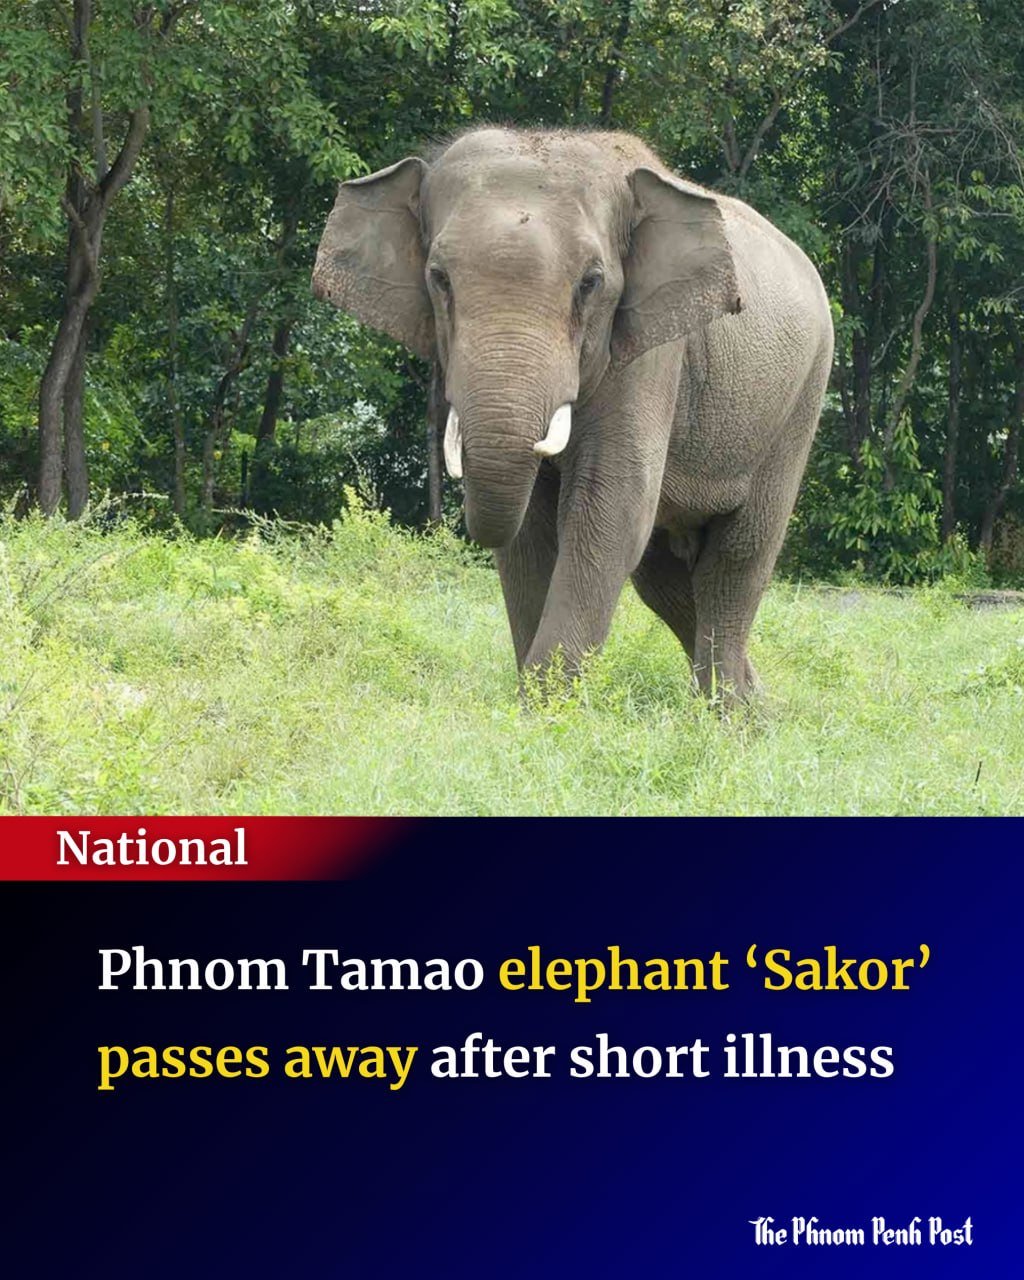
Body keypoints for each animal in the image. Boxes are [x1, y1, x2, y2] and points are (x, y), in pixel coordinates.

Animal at [312, 128, 833, 700]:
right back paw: (755, 707)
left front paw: (545, 709)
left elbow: (611, 506)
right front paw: (533, 704)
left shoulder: (652, 350)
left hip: (802, 395)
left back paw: (729, 711)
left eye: (591, 282)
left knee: (736, 560)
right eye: (439, 278)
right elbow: (530, 535)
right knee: (664, 579)